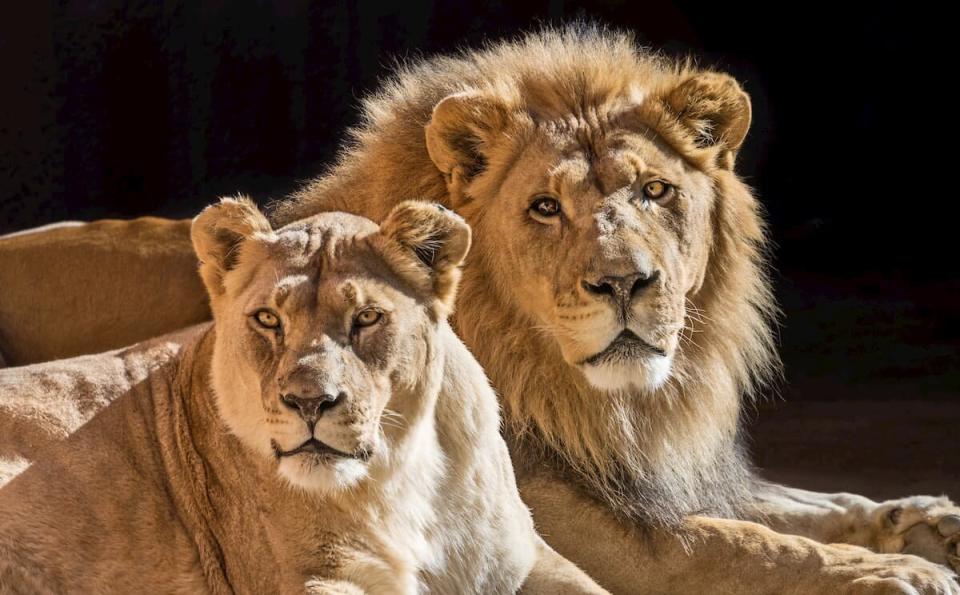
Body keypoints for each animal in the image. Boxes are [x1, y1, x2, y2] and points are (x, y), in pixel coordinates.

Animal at [0, 200, 604, 595]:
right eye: (269, 319)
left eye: (367, 318)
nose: (310, 402)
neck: (397, 478)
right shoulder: (312, 577)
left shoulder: (523, 557)